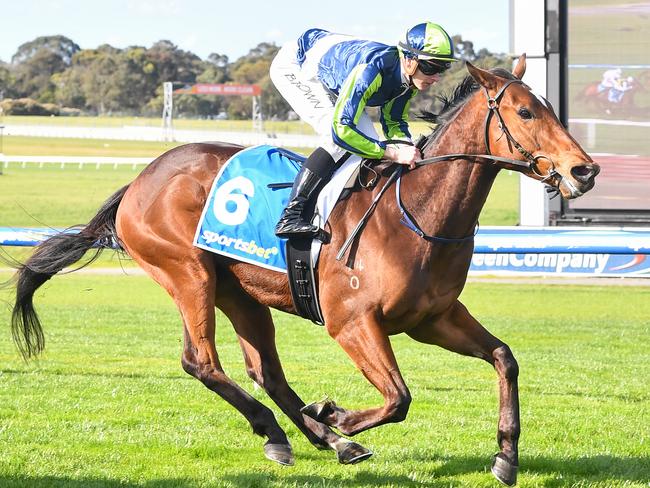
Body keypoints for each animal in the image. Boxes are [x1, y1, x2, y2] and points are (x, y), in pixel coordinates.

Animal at [10, 55, 596, 486]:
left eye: (548, 108)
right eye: (525, 113)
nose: (583, 170)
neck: (417, 211)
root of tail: (140, 179)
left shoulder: (433, 319)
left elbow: (504, 359)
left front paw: (506, 457)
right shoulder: (352, 322)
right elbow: (399, 398)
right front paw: (336, 413)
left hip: (241, 293)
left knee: (264, 370)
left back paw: (315, 438)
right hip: (188, 275)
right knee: (201, 362)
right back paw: (302, 431)